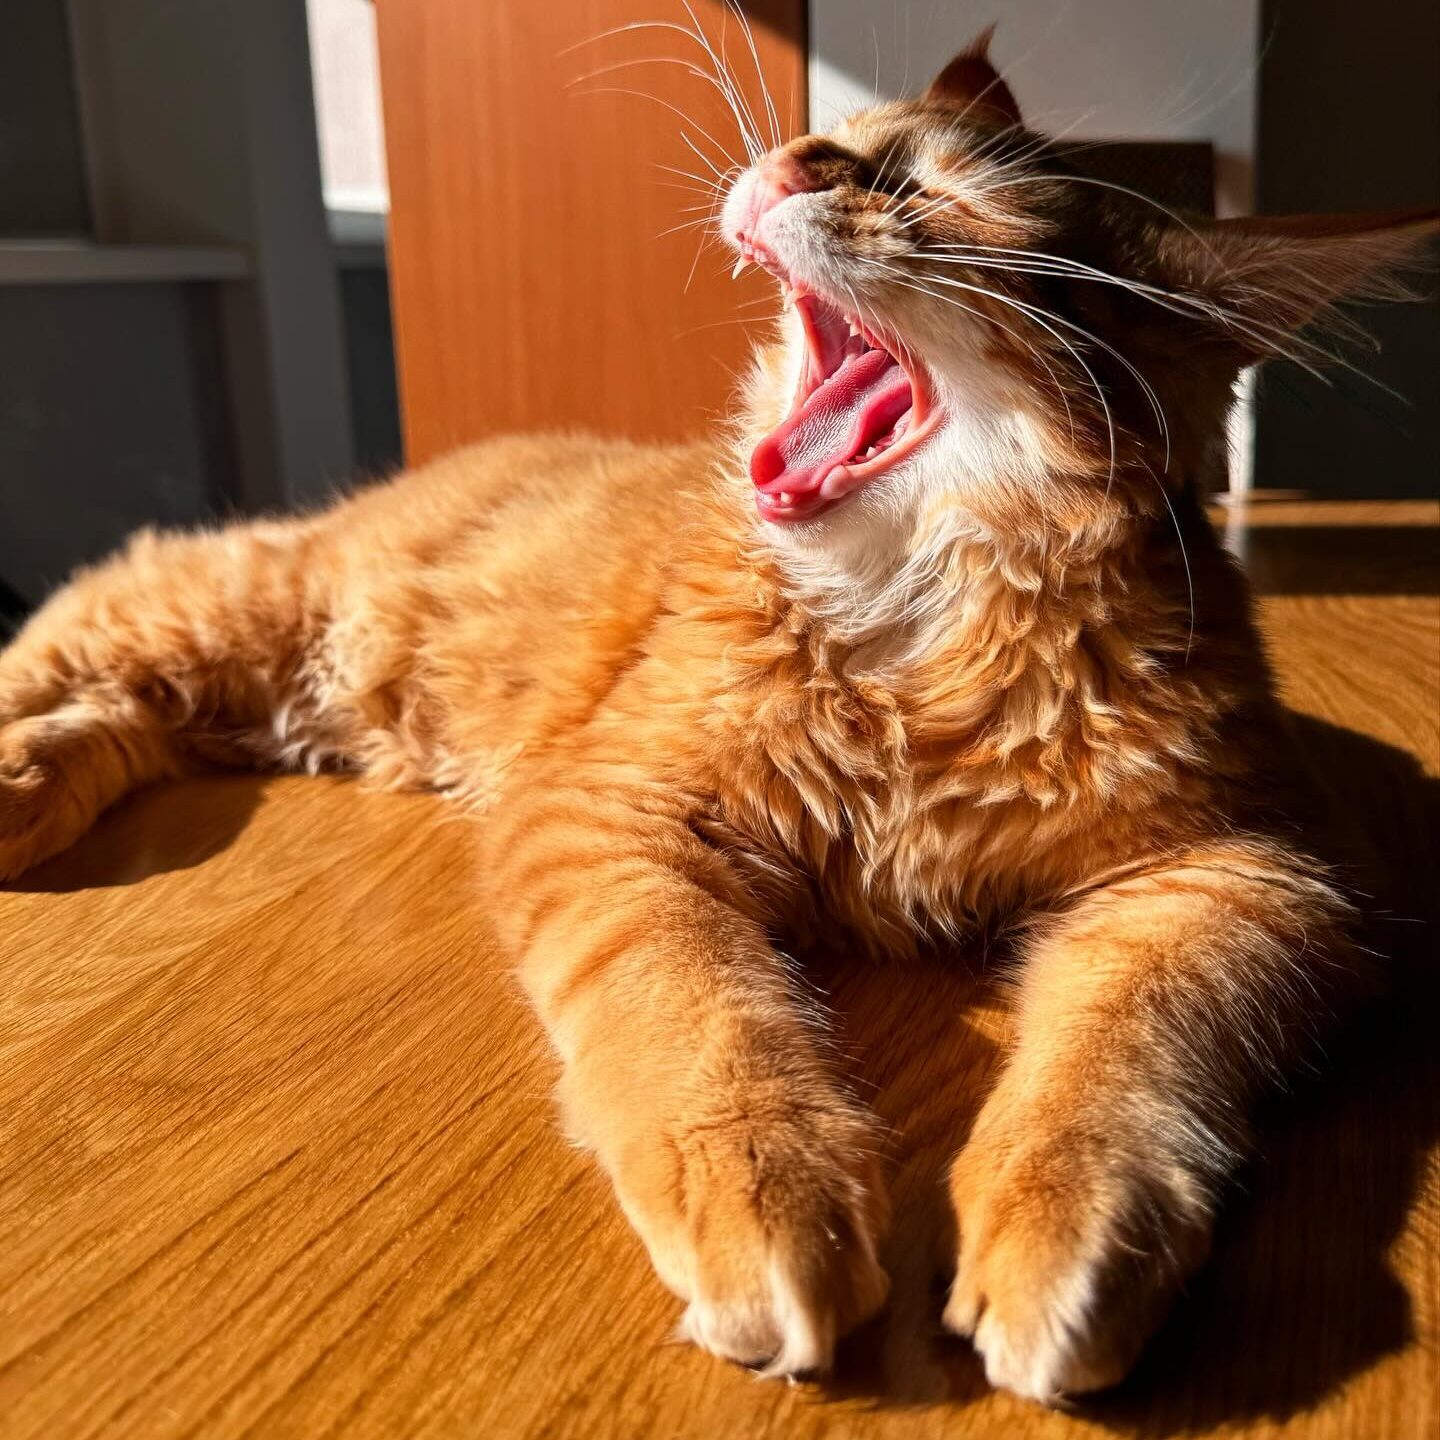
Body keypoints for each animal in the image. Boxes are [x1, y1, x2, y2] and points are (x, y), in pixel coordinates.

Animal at [2, 36, 1440, 1405]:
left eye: (935, 193)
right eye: (847, 142)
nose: (799, 158)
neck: (911, 628)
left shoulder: (1249, 872)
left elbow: (1126, 1055)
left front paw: (1071, 1223)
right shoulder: (611, 814)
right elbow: (697, 1009)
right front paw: (764, 1190)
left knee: (124, 711)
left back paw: (28, 787)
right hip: (254, 607)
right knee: (78, 617)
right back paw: (17, 764)